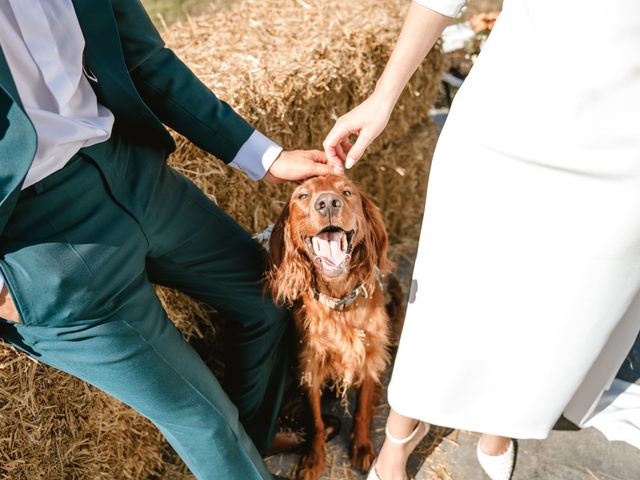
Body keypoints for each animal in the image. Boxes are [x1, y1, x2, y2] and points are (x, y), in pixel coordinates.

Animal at [268, 176, 392, 480]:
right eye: (302, 195)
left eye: (347, 191)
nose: (327, 203)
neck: (339, 302)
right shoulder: (309, 365)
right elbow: (315, 421)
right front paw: (313, 459)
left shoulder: (370, 356)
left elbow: (363, 408)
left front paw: (362, 447)